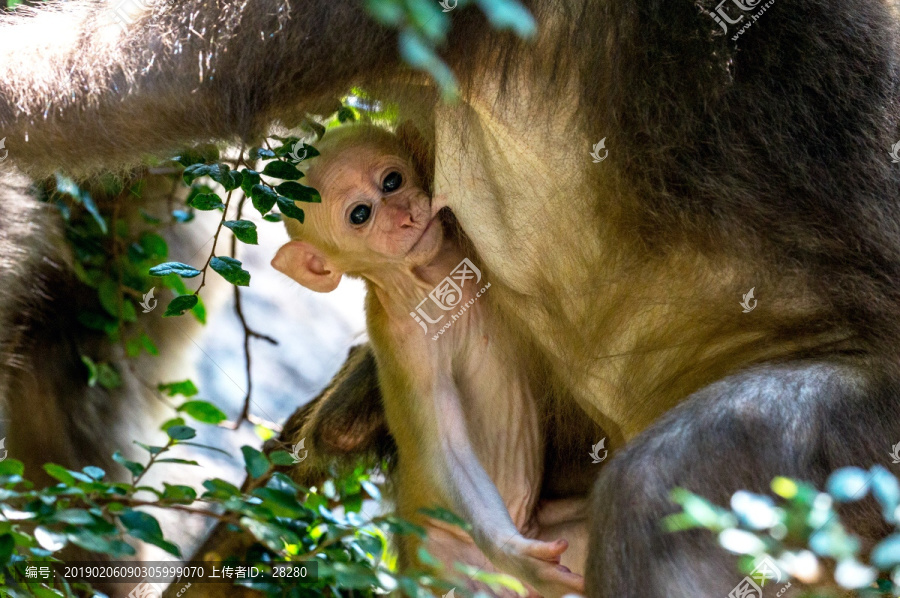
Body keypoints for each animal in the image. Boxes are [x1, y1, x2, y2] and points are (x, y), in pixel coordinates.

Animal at [272, 124, 584, 596]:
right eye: (360, 215)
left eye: (392, 181)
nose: (405, 215)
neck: (433, 277)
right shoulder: (405, 342)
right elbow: (446, 449)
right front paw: (513, 551)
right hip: (445, 563)